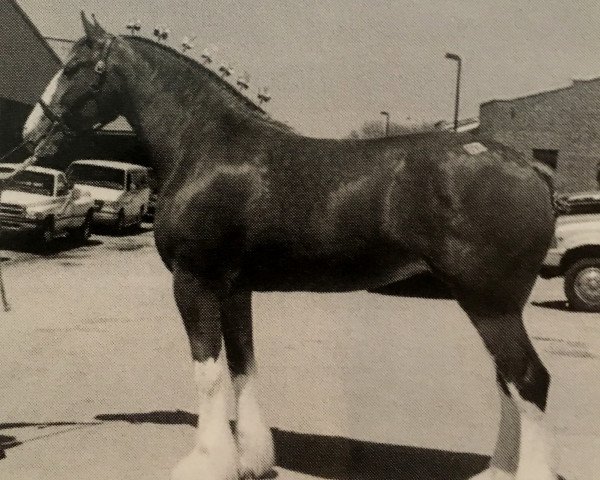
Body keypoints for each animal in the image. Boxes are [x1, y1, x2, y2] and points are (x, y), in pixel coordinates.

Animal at [22, 13, 556, 480]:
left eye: (73, 67)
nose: (30, 132)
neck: (205, 145)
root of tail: (531, 169)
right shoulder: (234, 289)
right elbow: (242, 367)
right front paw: (252, 461)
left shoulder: (195, 282)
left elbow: (208, 373)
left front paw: (206, 463)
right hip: (491, 305)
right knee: (508, 384)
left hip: (490, 303)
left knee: (529, 380)